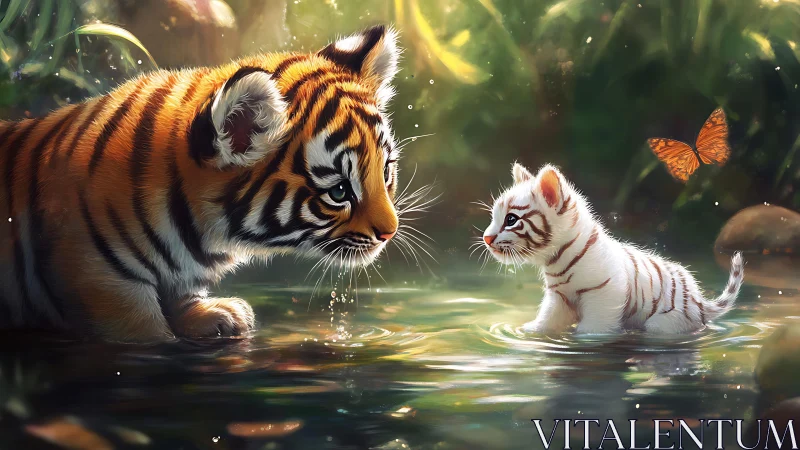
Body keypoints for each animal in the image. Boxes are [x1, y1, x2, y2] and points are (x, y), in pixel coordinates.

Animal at [0, 25, 403, 342]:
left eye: (385, 172)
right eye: (339, 191)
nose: (390, 232)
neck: (197, 233)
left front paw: (220, 315)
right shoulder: (104, 286)